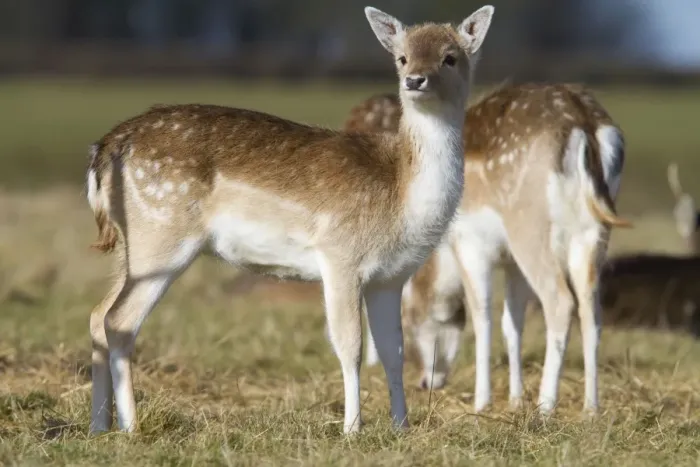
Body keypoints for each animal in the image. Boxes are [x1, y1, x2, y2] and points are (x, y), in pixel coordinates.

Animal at [84, 5, 495, 435]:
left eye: (450, 57)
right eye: (401, 58)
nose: (415, 79)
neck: (401, 195)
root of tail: (107, 147)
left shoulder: (390, 277)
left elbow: (392, 350)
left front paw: (402, 427)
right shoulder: (340, 255)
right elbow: (350, 345)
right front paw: (352, 428)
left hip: (132, 247)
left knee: (98, 315)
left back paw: (99, 425)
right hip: (161, 237)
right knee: (119, 321)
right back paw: (130, 426)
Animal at [345, 83, 631, 415]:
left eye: (409, 318)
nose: (426, 381)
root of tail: (585, 125)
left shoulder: (469, 243)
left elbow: (482, 316)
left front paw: (483, 401)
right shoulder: (511, 263)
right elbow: (512, 322)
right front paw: (515, 398)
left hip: (529, 228)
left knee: (560, 301)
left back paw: (546, 405)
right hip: (593, 233)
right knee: (591, 310)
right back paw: (591, 407)